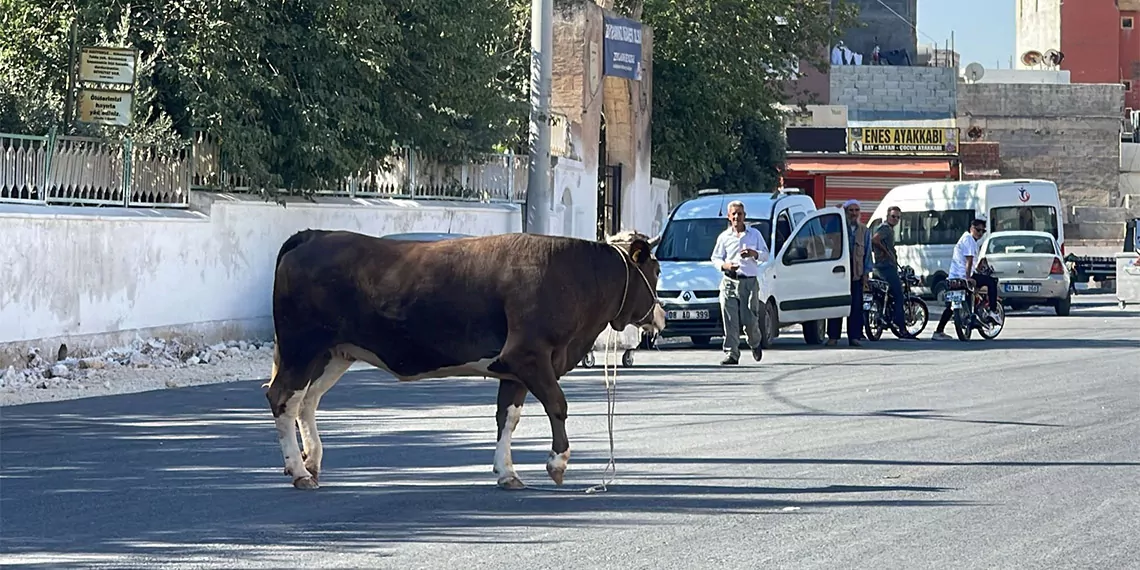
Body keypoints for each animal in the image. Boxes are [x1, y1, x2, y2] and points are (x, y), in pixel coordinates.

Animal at [262, 229, 665, 487]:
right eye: (658, 270)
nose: (661, 314)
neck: (576, 277)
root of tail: (315, 235)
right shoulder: (529, 355)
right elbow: (558, 404)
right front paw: (557, 463)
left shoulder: (513, 369)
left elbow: (508, 417)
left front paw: (507, 473)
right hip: (302, 346)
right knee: (283, 397)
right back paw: (299, 472)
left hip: (333, 352)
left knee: (307, 401)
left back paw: (311, 462)